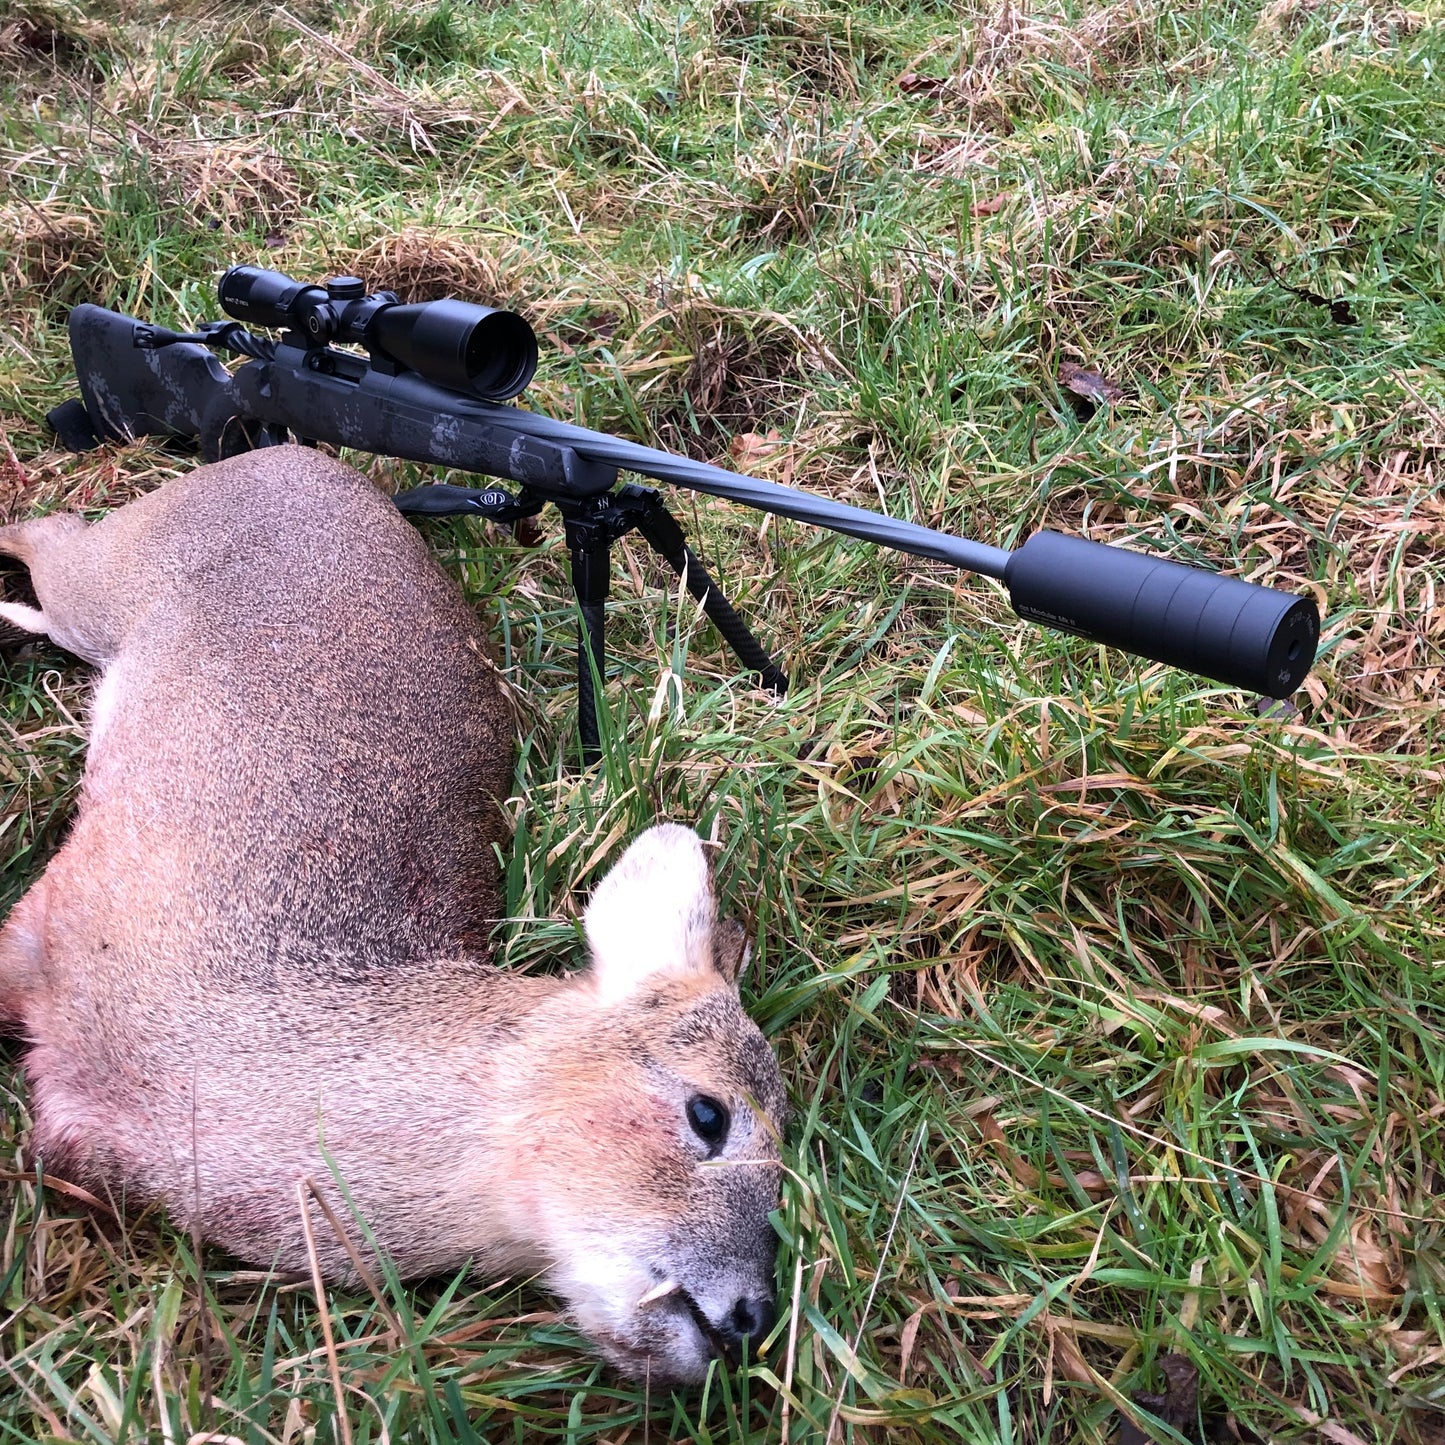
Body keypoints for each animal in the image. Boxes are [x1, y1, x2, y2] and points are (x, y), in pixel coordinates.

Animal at [0, 445, 788, 1383]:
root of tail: (293, 454)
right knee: (42, 529)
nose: (749, 1318)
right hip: (105, 574)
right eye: (709, 1112)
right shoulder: (51, 918)